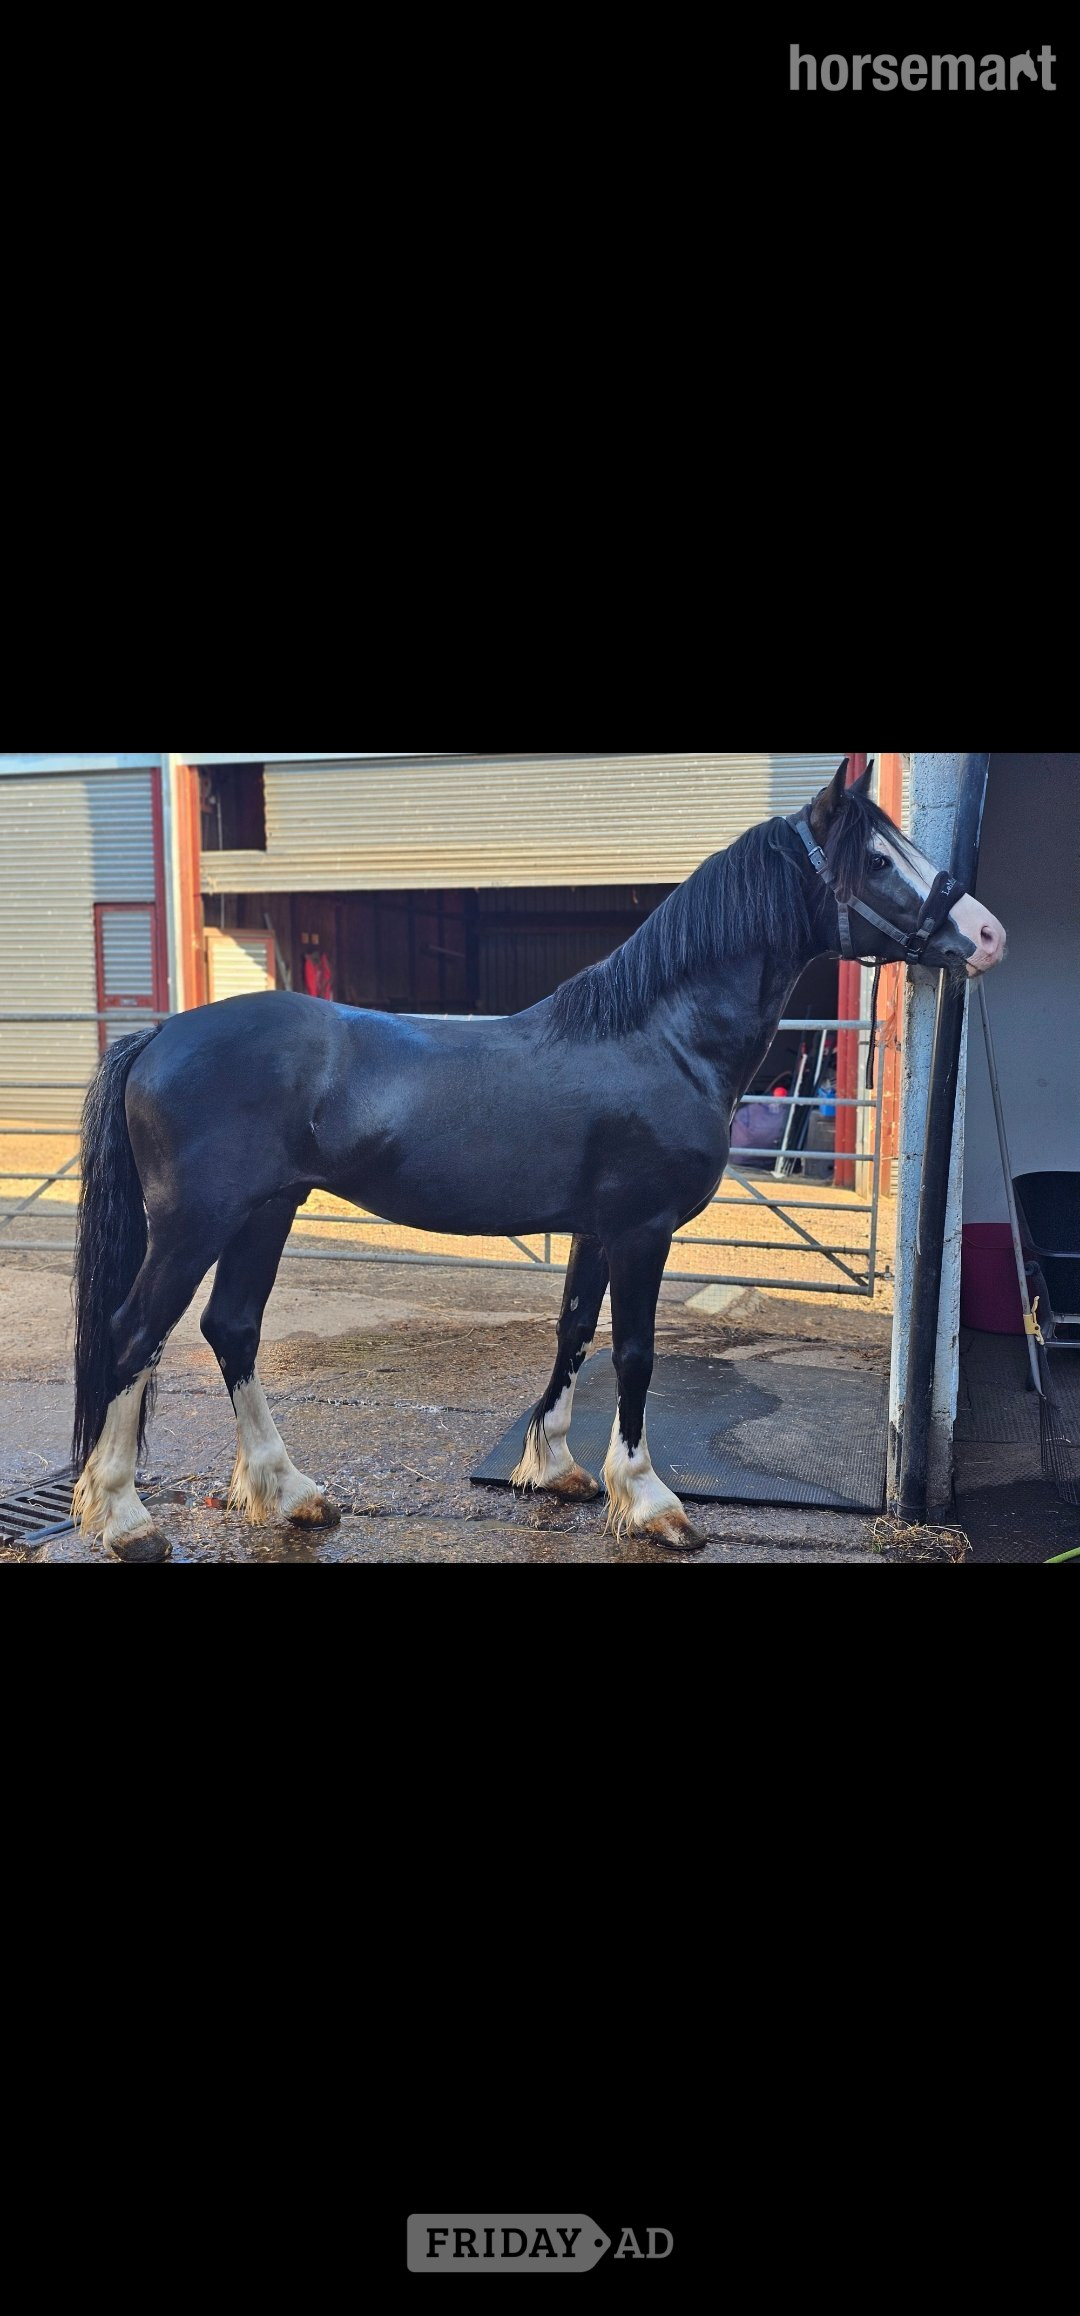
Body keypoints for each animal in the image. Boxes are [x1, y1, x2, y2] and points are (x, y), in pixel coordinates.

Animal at [70, 761, 1007, 1562]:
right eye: (879, 858)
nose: (987, 933)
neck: (661, 1038)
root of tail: (162, 1033)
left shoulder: (597, 1230)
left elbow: (574, 1333)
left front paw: (557, 1469)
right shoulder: (641, 1231)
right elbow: (634, 1354)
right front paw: (653, 1501)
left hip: (267, 1212)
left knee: (232, 1329)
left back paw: (291, 1492)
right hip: (195, 1225)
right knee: (133, 1334)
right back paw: (125, 1519)